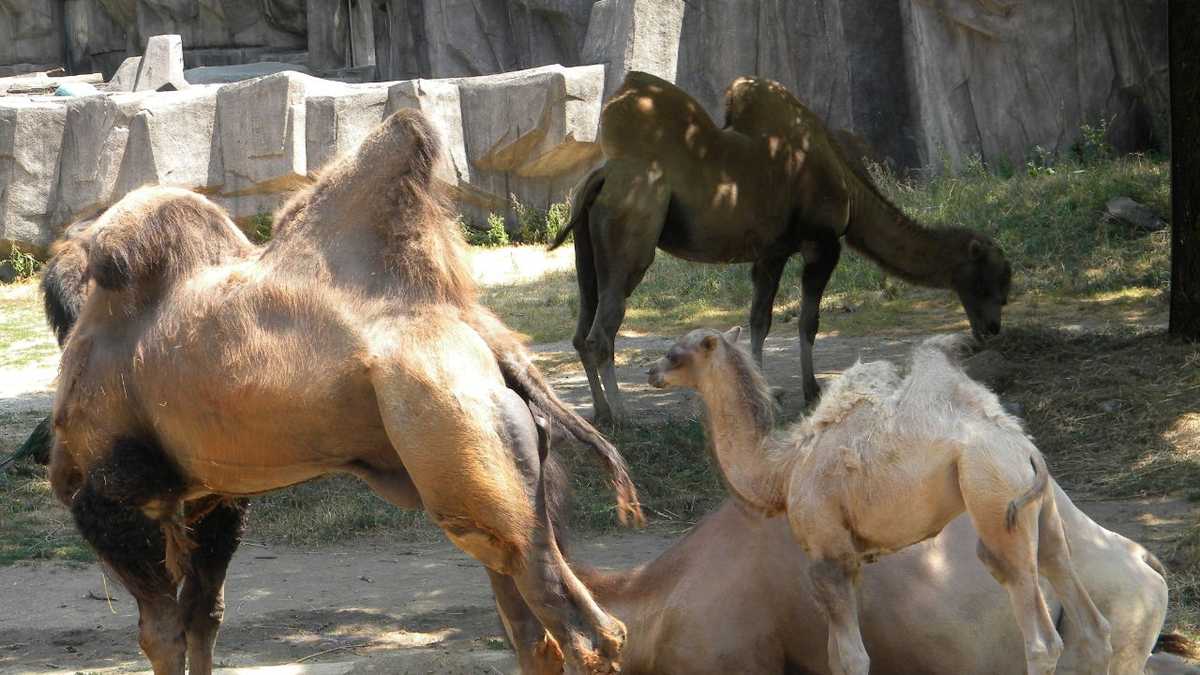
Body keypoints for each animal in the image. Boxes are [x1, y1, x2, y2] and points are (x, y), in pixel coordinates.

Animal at [44, 109, 644, 675]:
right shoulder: (210, 499)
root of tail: (485, 335)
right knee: (532, 626)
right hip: (500, 468)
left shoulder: (117, 492)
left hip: (458, 445)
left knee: (584, 628)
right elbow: (204, 616)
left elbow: (161, 633)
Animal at [550, 72, 1011, 424]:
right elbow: (808, 321)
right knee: (602, 332)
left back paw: (600, 414)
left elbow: (760, 320)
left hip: (586, 248)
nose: (992, 328)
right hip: (633, 232)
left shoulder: (771, 251)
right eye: (991, 281)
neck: (847, 186)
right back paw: (625, 416)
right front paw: (812, 390)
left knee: (581, 328)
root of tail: (604, 175)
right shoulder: (822, 243)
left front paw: (765, 391)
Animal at [648, 329, 1112, 675]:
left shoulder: (828, 557)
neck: (783, 470)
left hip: (994, 499)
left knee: (1040, 637)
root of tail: (1026, 450)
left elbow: (853, 660)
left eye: (674, 353)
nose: (650, 371)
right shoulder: (849, 560)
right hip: (1043, 511)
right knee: (1087, 614)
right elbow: (835, 658)